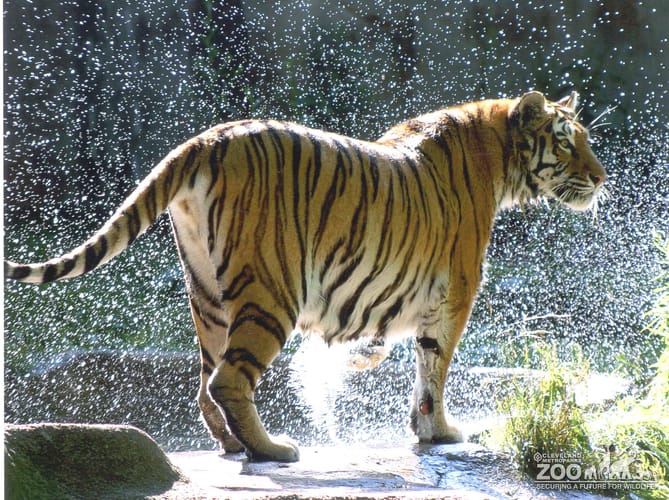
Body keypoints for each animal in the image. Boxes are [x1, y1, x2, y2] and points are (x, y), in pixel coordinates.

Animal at [5, 91, 607, 462]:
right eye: (566, 141)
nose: (602, 179)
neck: (499, 158)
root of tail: (207, 139)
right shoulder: (455, 294)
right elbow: (432, 371)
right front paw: (439, 434)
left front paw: (358, 359)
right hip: (271, 293)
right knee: (228, 379)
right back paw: (273, 449)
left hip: (207, 295)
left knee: (205, 384)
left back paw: (234, 446)